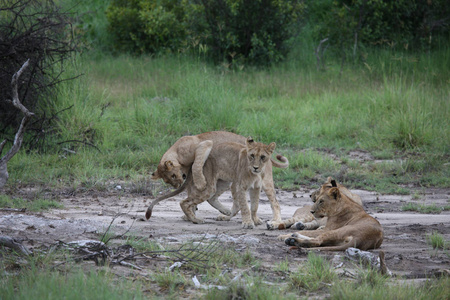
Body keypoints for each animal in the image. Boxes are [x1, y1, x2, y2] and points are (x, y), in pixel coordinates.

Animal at [150, 131, 288, 225]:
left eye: (173, 175)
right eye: (167, 181)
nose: (177, 185)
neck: (177, 151)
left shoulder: (204, 145)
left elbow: (196, 165)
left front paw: (200, 184)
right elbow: (191, 194)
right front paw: (190, 214)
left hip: (264, 183)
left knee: (275, 203)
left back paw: (276, 221)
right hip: (225, 181)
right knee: (217, 198)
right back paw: (225, 214)